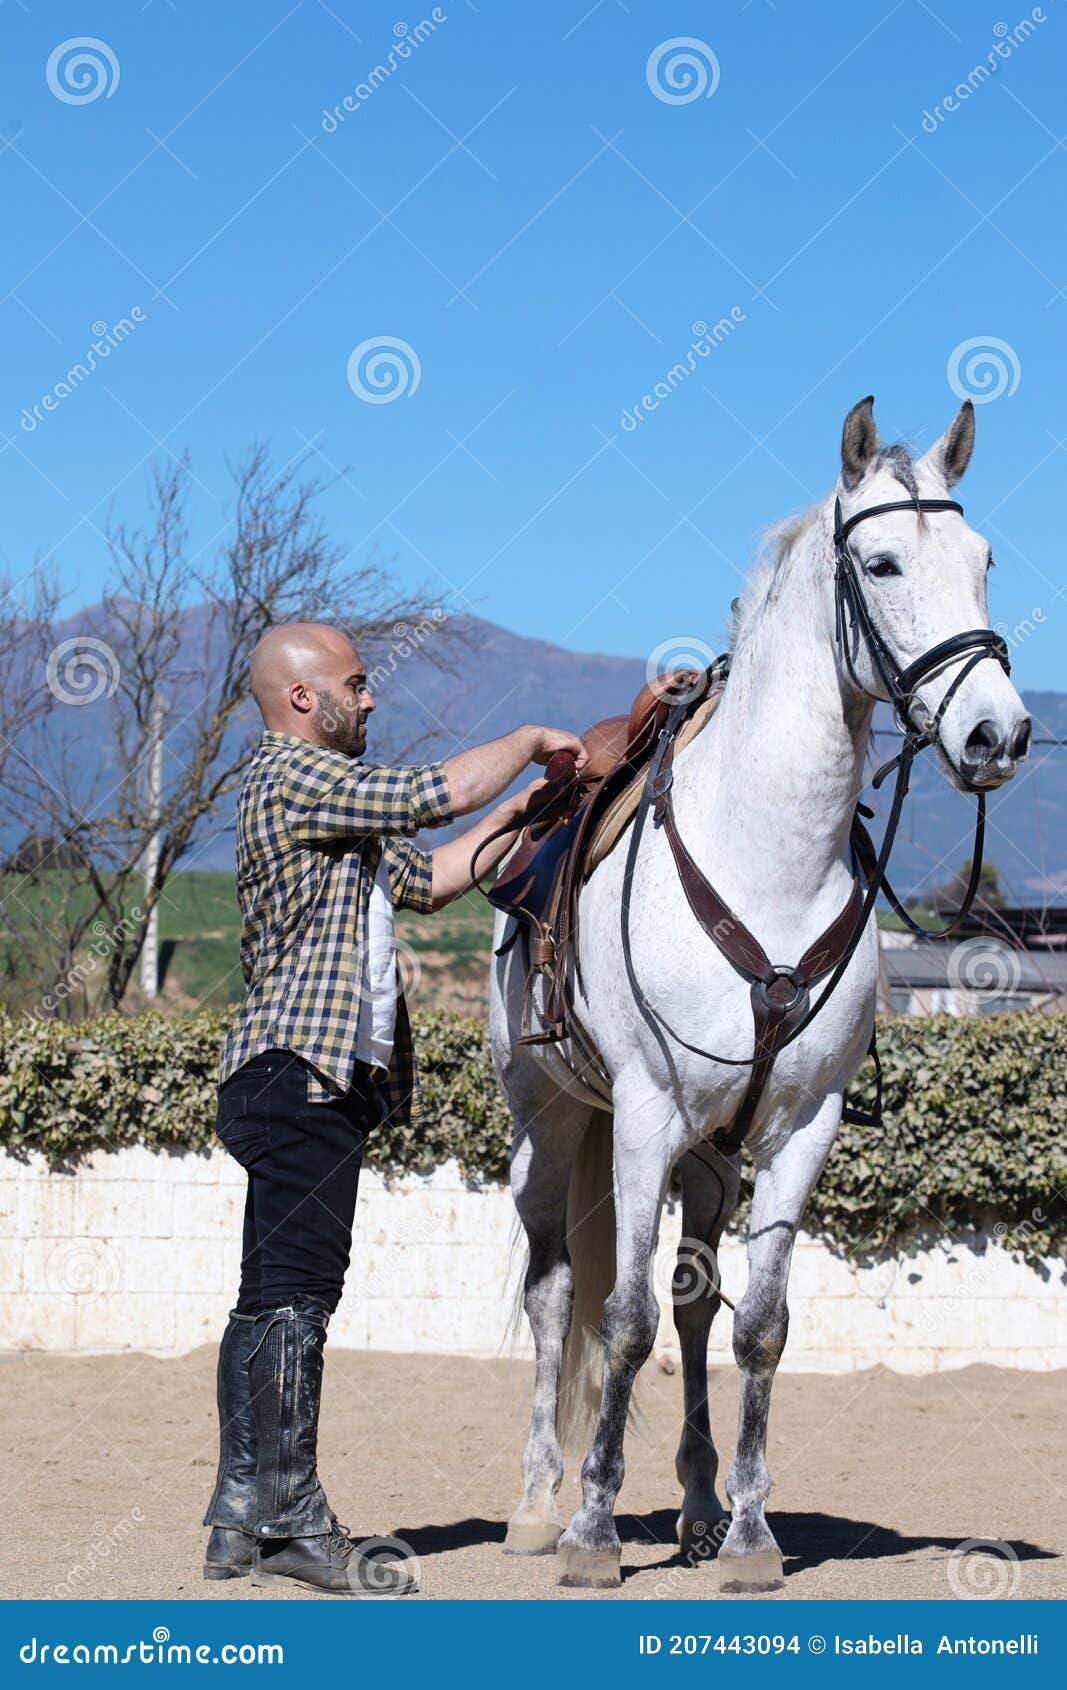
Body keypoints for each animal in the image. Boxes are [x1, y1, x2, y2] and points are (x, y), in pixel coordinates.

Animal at [486, 388, 1028, 1588]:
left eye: (982, 560)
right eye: (879, 562)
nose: (998, 733)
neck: (767, 859)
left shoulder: (796, 1126)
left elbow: (758, 1327)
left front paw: (748, 1534)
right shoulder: (642, 1115)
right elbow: (623, 1317)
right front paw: (594, 1533)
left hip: (710, 1153)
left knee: (695, 1306)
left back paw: (693, 1504)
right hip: (554, 1119)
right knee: (556, 1294)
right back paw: (539, 1503)